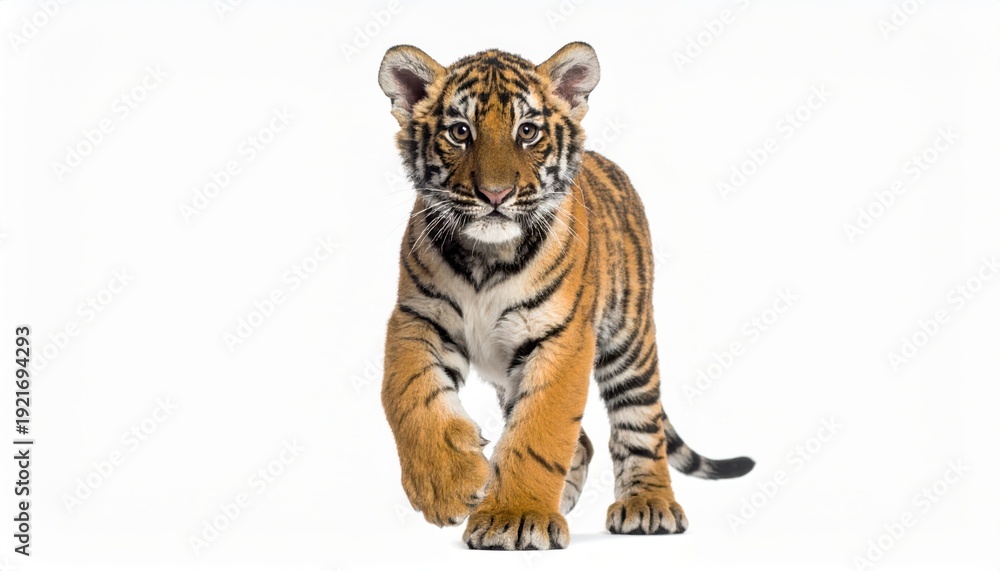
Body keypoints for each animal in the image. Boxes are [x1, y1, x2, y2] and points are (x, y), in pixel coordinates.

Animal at [377, 41, 754, 550]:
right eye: (460, 132)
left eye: (527, 131)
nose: (496, 194)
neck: (486, 258)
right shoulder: (417, 318)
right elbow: (409, 395)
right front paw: (449, 485)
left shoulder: (563, 337)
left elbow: (542, 429)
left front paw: (514, 517)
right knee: (584, 442)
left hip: (629, 340)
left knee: (640, 426)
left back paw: (649, 505)